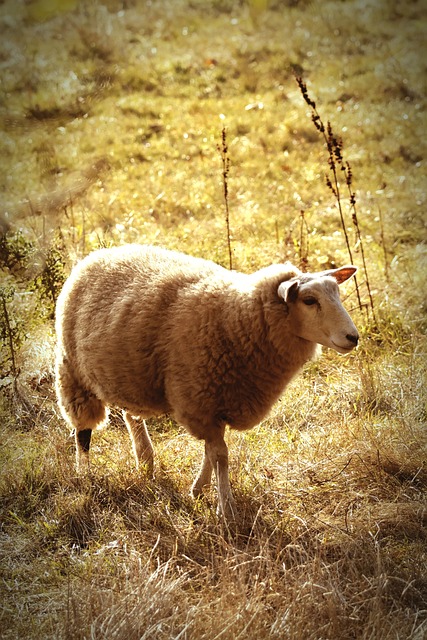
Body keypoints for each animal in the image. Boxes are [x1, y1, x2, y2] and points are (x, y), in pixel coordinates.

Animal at [55, 244, 359, 520]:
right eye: (309, 300)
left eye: (337, 294)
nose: (353, 337)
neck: (238, 318)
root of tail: (102, 253)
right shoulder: (201, 398)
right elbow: (219, 455)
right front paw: (226, 510)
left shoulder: (215, 399)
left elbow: (210, 452)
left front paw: (198, 490)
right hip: (73, 372)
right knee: (83, 432)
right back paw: (84, 474)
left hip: (130, 374)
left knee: (132, 417)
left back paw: (145, 462)